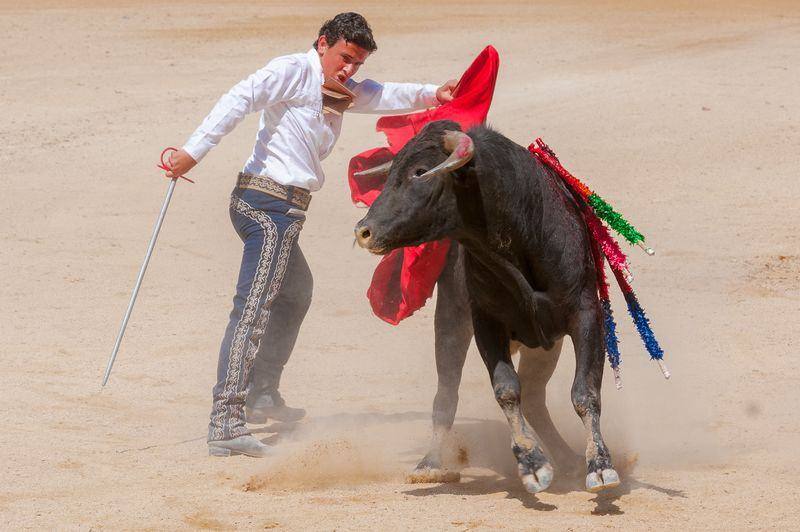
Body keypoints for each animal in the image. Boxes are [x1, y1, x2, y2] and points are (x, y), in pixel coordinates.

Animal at [354, 119, 620, 494]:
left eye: (420, 171)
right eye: (391, 171)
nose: (363, 231)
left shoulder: (585, 315)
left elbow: (585, 392)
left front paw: (600, 466)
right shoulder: (486, 323)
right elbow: (506, 389)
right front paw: (532, 464)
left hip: (544, 346)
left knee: (535, 398)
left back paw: (568, 459)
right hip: (451, 320)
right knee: (447, 395)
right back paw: (430, 464)